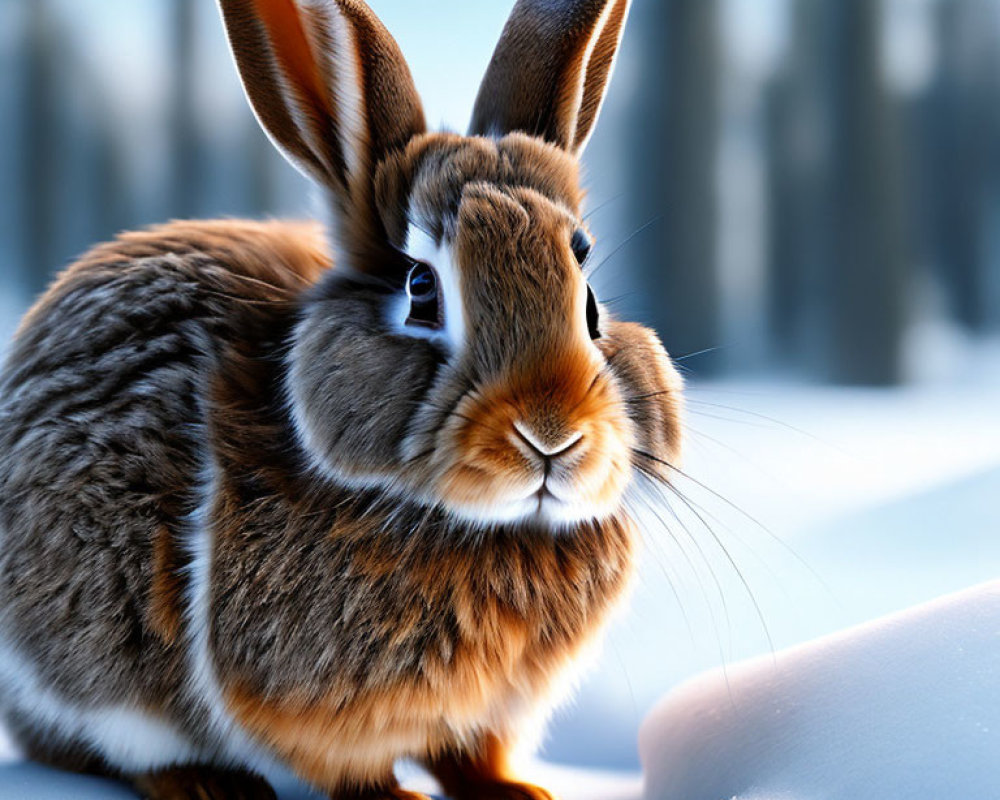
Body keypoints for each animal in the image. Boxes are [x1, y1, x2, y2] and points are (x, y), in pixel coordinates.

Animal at [0, 1, 684, 800]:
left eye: (592, 302)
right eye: (422, 290)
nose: (552, 434)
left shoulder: (488, 715)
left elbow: (473, 755)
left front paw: (520, 792)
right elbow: (354, 771)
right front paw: (401, 798)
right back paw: (205, 783)